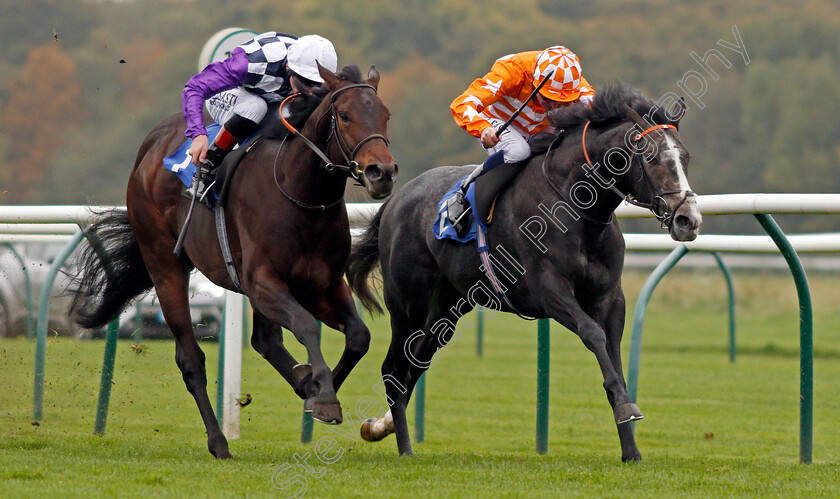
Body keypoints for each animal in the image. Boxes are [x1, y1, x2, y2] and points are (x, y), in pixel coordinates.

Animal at [71, 64, 398, 458]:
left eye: (385, 114)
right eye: (345, 115)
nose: (382, 172)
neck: (300, 193)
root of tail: (150, 147)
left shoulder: (323, 287)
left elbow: (359, 336)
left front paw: (316, 388)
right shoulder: (263, 283)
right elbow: (305, 326)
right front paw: (322, 397)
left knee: (264, 341)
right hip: (165, 265)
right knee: (191, 358)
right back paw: (219, 442)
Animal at [348, 82, 704, 460]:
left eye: (685, 157)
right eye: (652, 158)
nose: (688, 219)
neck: (574, 205)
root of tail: (396, 197)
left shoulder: (610, 296)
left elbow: (613, 356)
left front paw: (631, 448)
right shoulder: (549, 291)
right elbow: (593, 334)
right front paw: (626, 409)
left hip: (447, 305)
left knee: (417, 361)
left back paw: (381, 427)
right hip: (407, 302)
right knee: (392, 368)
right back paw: (404, 447)